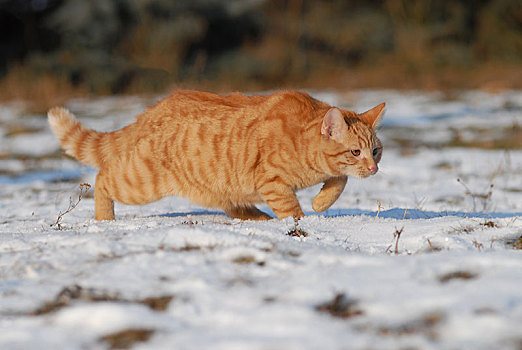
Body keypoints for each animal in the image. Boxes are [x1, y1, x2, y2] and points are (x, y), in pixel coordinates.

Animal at [47, 91, 382, 221]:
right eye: (356, 151)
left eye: (376, 151)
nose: (374, 169)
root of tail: (153, 110)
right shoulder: (271, 181)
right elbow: (292, 210)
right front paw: (304, 221)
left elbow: (339, 181)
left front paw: (320, 202)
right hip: (140, 182)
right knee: (103, 178)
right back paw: (105, 219)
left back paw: (256, 216)